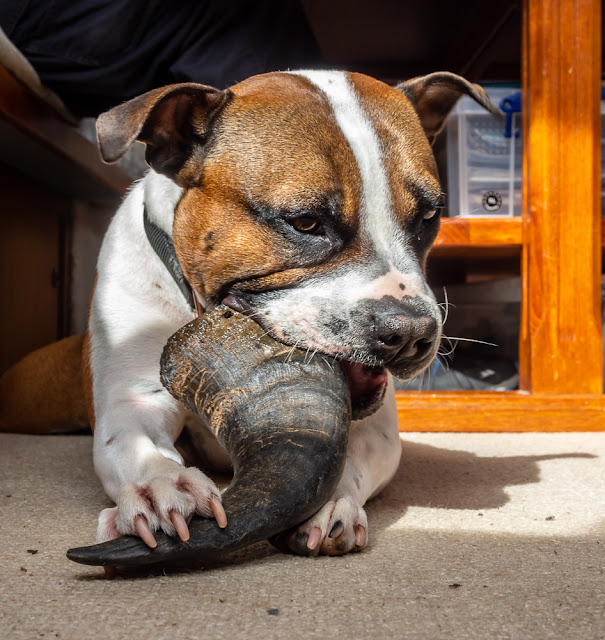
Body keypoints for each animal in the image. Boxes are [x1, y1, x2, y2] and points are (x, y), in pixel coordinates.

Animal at [82, 69, 494, 556]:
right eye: (305, 222)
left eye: (429, 216)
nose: (411, 332)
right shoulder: (133, 397)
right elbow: (132, 443)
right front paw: (162, 486)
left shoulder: (378, 431)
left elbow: (346, 455)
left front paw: (331, 500)